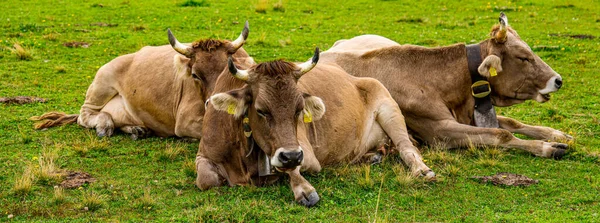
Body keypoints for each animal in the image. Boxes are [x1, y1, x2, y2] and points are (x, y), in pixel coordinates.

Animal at [31, 21, 254, 139]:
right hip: (102, 81)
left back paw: (136, 128)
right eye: (195, 75)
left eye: (227, 71)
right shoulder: (185, 122)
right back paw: (104, 125)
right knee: (85, 115)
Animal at [195, 48, 434, 207]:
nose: (291, 155)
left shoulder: (306, 155)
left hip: (389, 108)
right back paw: (371, 156)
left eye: (299, 109)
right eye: (261, 110)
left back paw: (422, 170)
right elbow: (206, 180)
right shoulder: (203, 154)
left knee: (407, 148)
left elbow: (290, 170)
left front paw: (304, 190)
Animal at [318, 12, 572, 159]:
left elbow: (511, 123)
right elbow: (501, 134)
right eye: (523, 57)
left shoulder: (466, 116)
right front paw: (546, 147)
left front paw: (555, 134)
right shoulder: (439, 131)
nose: (558, 80)